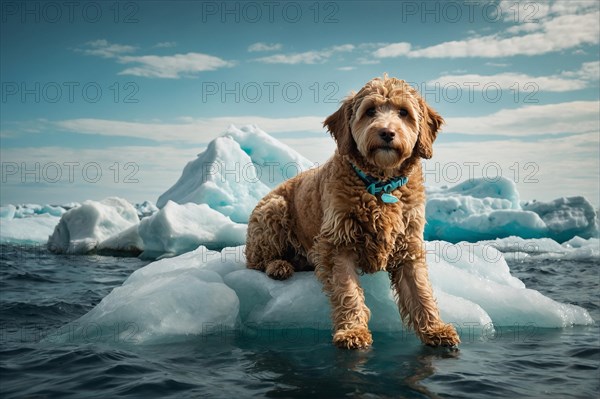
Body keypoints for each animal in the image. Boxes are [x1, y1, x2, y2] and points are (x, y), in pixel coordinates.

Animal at [244, 75, 460, 350]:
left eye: (403, 112)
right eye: (370, 111)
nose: (387, 132)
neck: (380, 185)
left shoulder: (408, 245)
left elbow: (420, 291)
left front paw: (435, 329)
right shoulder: (337, 243)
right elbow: (347, 290)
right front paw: (352, 331)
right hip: (274, 211)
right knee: (255, 262)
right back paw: (279, 266)